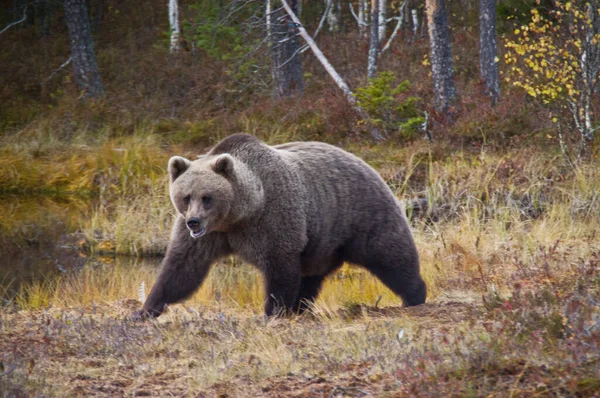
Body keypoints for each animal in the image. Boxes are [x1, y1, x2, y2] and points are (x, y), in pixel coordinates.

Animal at [138, 134, 424, 318]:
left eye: (207, 197)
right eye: (186, 196)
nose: (193, 221)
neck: (241, 213)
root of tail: (366, 164)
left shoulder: (273, 219)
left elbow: (280, 266)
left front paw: (273, 311)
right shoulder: (210, 236)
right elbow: (182, 268)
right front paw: (147, 309)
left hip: (361, 214)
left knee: (390, 254)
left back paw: (414, 295)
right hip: (322, 241)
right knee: (311, 275)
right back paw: (302, 306)